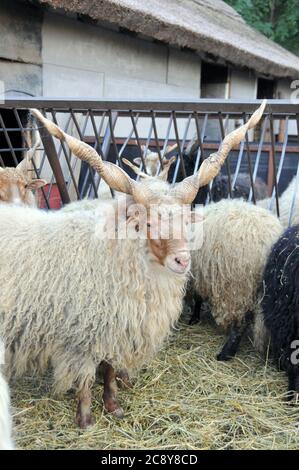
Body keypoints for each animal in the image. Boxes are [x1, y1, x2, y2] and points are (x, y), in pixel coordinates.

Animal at [0, 103, 266, 426]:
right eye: (148, 223)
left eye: (186, 220)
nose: (182, 260)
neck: (111, 255)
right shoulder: (83, 335)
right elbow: (86, 378)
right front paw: (86, 419)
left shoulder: (118, 327)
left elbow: (110, 370)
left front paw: (113, 406)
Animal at [190, 198, 284, 360]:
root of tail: (269, 240)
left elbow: (197, 299)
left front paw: (193, 319)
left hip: (238, 287)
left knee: (240, 322)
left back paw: (226, 353)